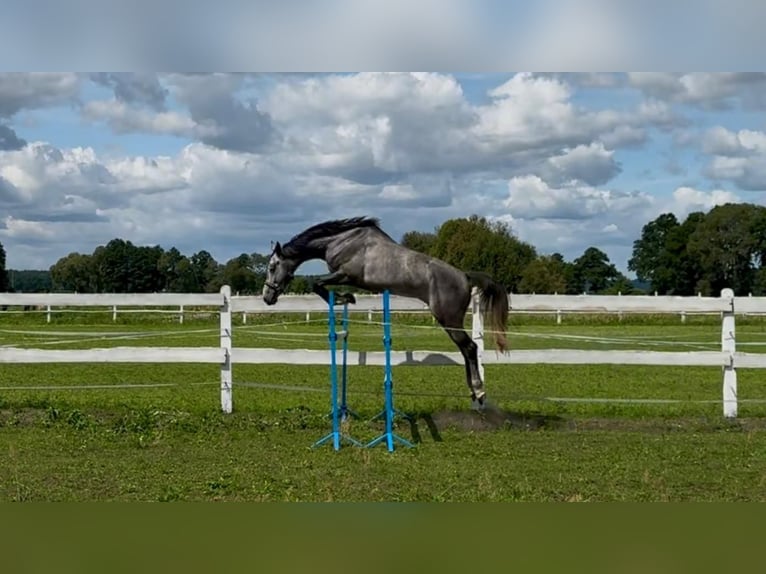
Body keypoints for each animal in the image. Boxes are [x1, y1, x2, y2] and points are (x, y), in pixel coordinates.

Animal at [262, 216, 509, 408]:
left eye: (272, 267)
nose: (267, 297)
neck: (341, 241)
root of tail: (465, 277)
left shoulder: (346, 275)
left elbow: (315, 283)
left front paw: (345, 298)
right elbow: (319, 284)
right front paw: (347, 298)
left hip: (448, 318)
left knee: (470, 348)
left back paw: (479, 391)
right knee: (467, 350)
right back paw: (473, 393)